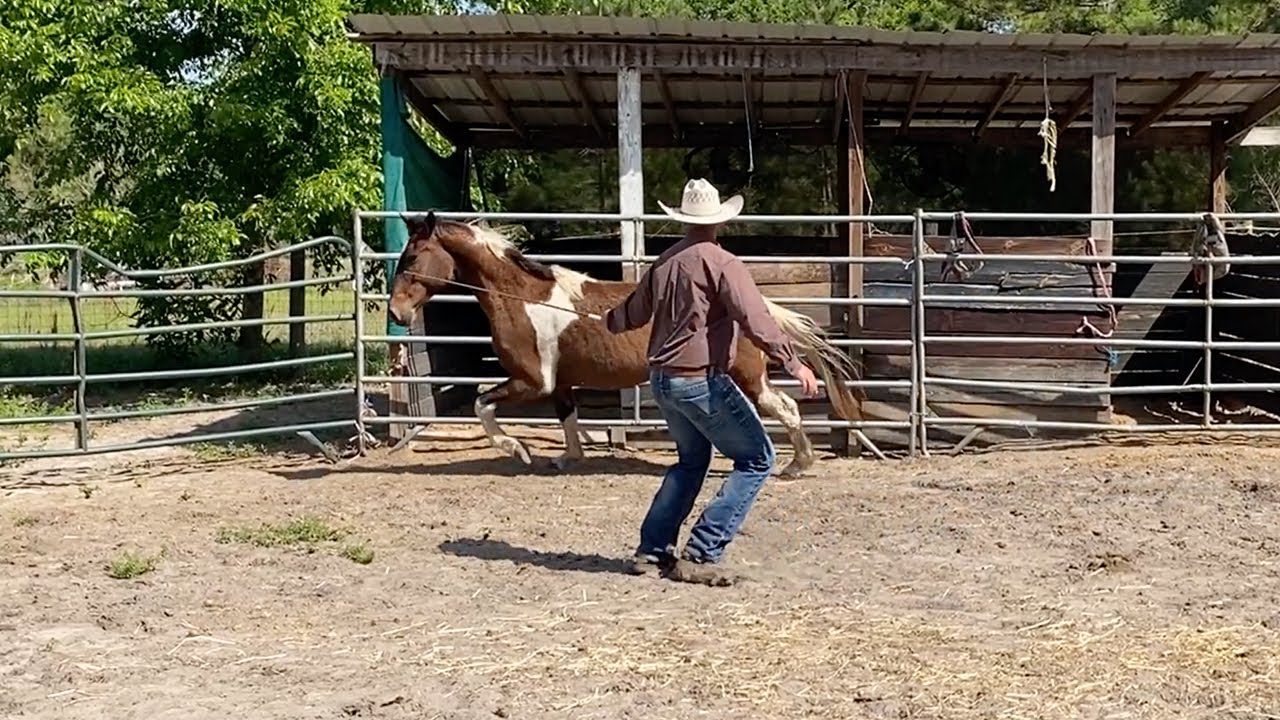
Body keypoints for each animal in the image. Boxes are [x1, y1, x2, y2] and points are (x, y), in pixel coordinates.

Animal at [387, 212, 863, 477]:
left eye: (412, 257)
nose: (396, 312)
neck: (523, 297)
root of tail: (756, 301)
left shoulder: (532, 381)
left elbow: (482, 405)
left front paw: (519, 451)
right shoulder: (560, 384)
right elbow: (568, 419)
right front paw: (567, 459)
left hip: (747, 375)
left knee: (786, 407)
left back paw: (797, 465)